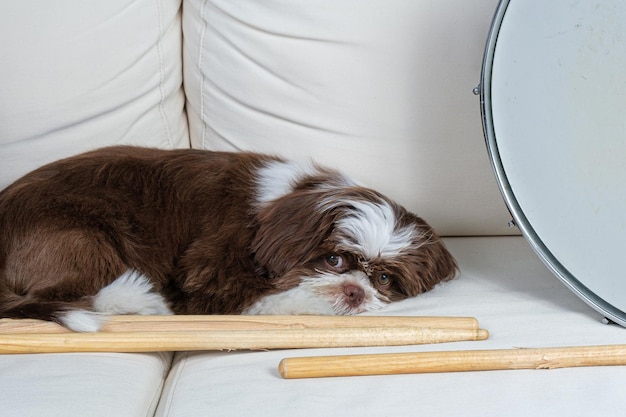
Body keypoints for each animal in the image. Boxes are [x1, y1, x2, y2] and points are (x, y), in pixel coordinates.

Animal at [0, 146, 456, 332]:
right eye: (334, 260)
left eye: (384, 279)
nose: (354, 292)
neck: (293, 199)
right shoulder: (210, 271)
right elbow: (268, 299)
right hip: (83, 240)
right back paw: (141, 301)